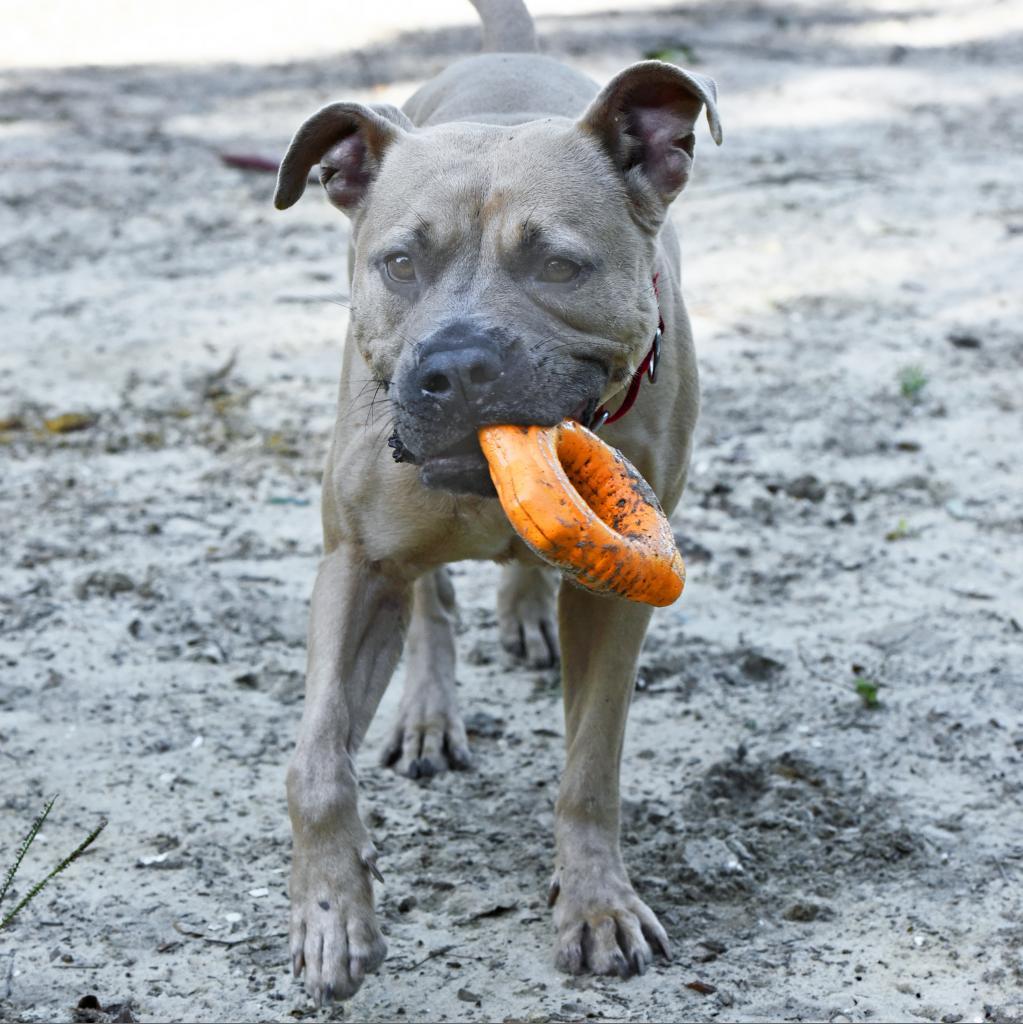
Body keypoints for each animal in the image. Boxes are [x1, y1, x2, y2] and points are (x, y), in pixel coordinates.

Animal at [272, 0, 720, 1007]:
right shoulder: (355, 565)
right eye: (400, 262)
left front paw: (596, 905)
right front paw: (333, 915)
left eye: (557, 265)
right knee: (432, 605)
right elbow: (316, 762)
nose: (455, 366)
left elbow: (590, 766)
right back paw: (429, 714)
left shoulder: (614, 599)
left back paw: (522, 610)